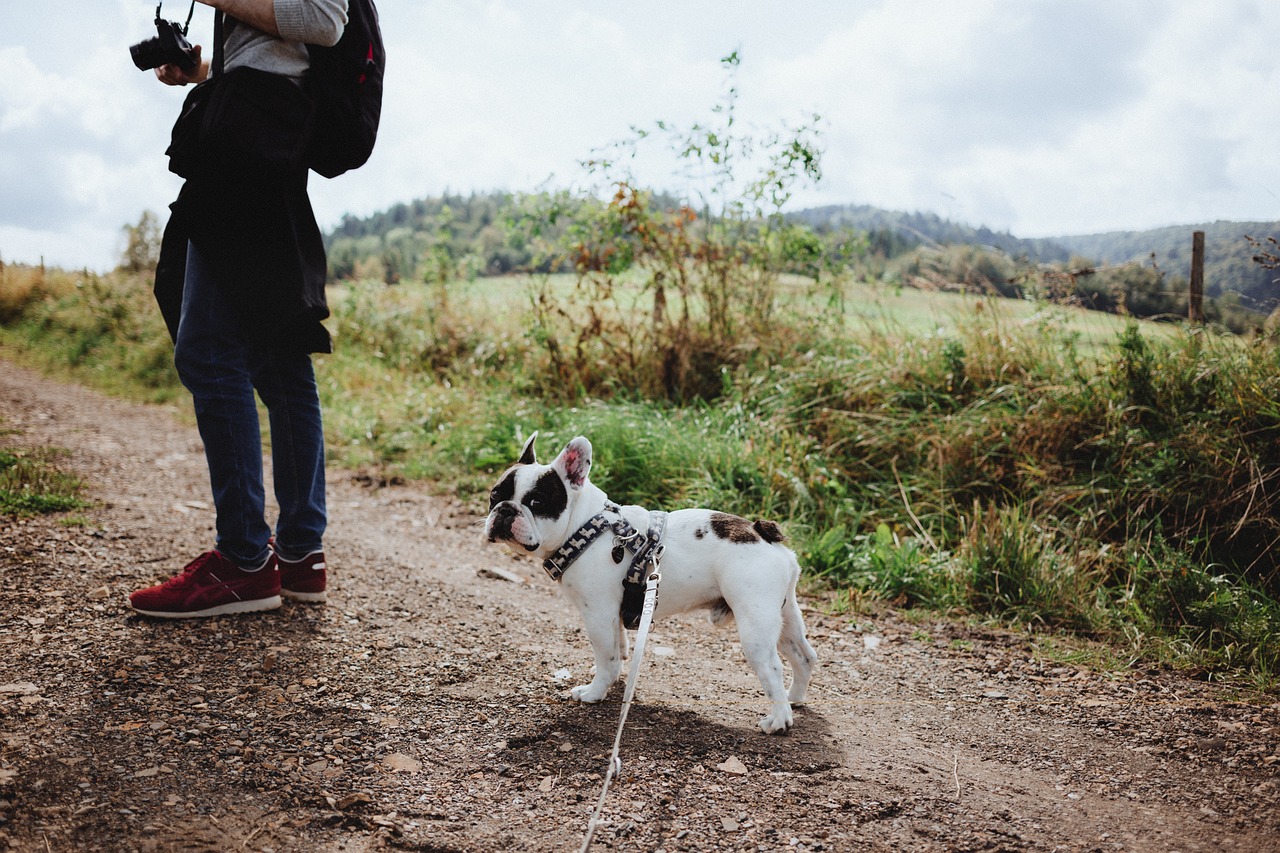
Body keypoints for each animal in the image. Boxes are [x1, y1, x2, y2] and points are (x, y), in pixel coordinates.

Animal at [483, 432, 814, 732]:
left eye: (537, 502)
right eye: (494, 496)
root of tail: (762, 533)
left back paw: (779, 721)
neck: (583, 526)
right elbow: (617, 647)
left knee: (772, 667)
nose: (505, 510)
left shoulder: (597, 613)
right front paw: (615, 675)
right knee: (804, 656)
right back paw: (794, 697)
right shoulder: (612, 613)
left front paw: (595, 692)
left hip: (754, 624)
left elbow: (605, 655)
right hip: (783, 615)